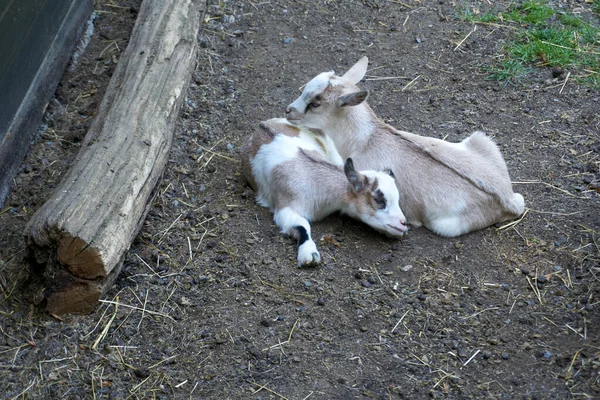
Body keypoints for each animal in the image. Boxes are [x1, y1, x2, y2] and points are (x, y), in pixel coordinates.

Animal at [240, 116, 408, 266]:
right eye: (379, 200)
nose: (403, 223)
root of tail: (264, 123)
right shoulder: (285, 207)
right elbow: (302, 225)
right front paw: (309, 255)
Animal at [286, 56, 524, 238]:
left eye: (316, 103)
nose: (288, 110)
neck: (366, 138)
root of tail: (510, 201)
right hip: (481, 140)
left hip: (447, 227)